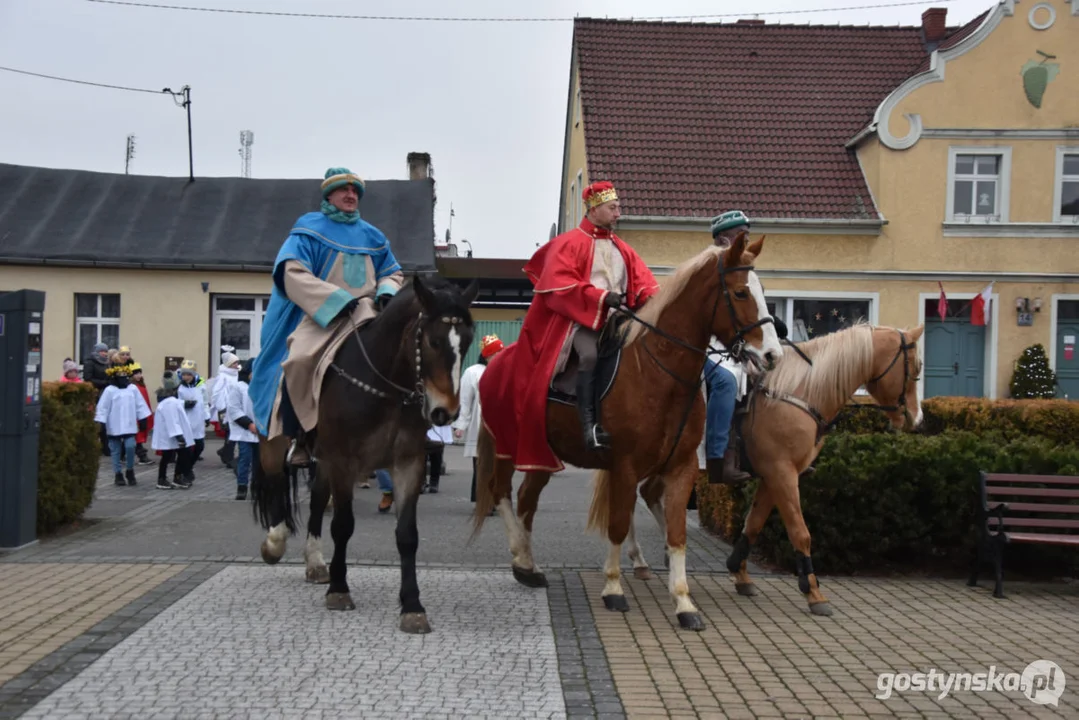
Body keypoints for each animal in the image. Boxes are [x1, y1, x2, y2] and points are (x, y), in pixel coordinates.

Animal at [251, 276, 476, 634]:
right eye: (434, 341)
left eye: (466, 341)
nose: (445, 412)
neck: (385, 387)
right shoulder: (344, 462)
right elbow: (343, 525)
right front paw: (339, 590)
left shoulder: (407, 463)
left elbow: (407, 535)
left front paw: (412, 605)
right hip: (273, 439)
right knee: (274, 483)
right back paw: (275, 543)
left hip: (323, 460)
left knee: (317, 501)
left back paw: (315, 562)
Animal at [468, 236, 781, 630]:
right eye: (740, 292)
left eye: (763, 290)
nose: (772, 355)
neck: (658, 373)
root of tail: (498, 362)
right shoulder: (625, 467)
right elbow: (617, 524)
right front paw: (613, 588)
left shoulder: (682, 469)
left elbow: (676, 533)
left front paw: (684, 603)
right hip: (511, 446)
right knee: (501, 492)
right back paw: (520, 556)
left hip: (542, 454)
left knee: (527, 499)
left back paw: (528, 565)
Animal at [630, 323, 927, 617]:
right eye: (915, 366)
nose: (916, 418)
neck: (798, 392)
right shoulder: (782, 474)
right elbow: (800, 532)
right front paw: (812, 590)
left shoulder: (773, 477)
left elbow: (753, 524)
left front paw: (740, 574)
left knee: (647, 494)